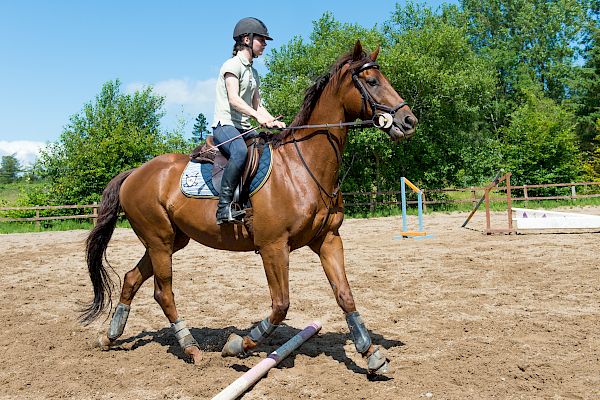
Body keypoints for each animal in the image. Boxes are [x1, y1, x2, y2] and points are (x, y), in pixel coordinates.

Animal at [81, 40, 418, 376]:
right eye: (372, 81)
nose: (409, 121)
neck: (302, 166)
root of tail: (134, 173)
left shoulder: (328, 239)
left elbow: (345, 295)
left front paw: (371, 354)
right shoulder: (273, 246)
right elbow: (281, 305)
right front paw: (237, 345)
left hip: (171, 240)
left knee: (131, 278)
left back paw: (110, 337)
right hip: (159, 241)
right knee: (163, 292)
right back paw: (191, 348)